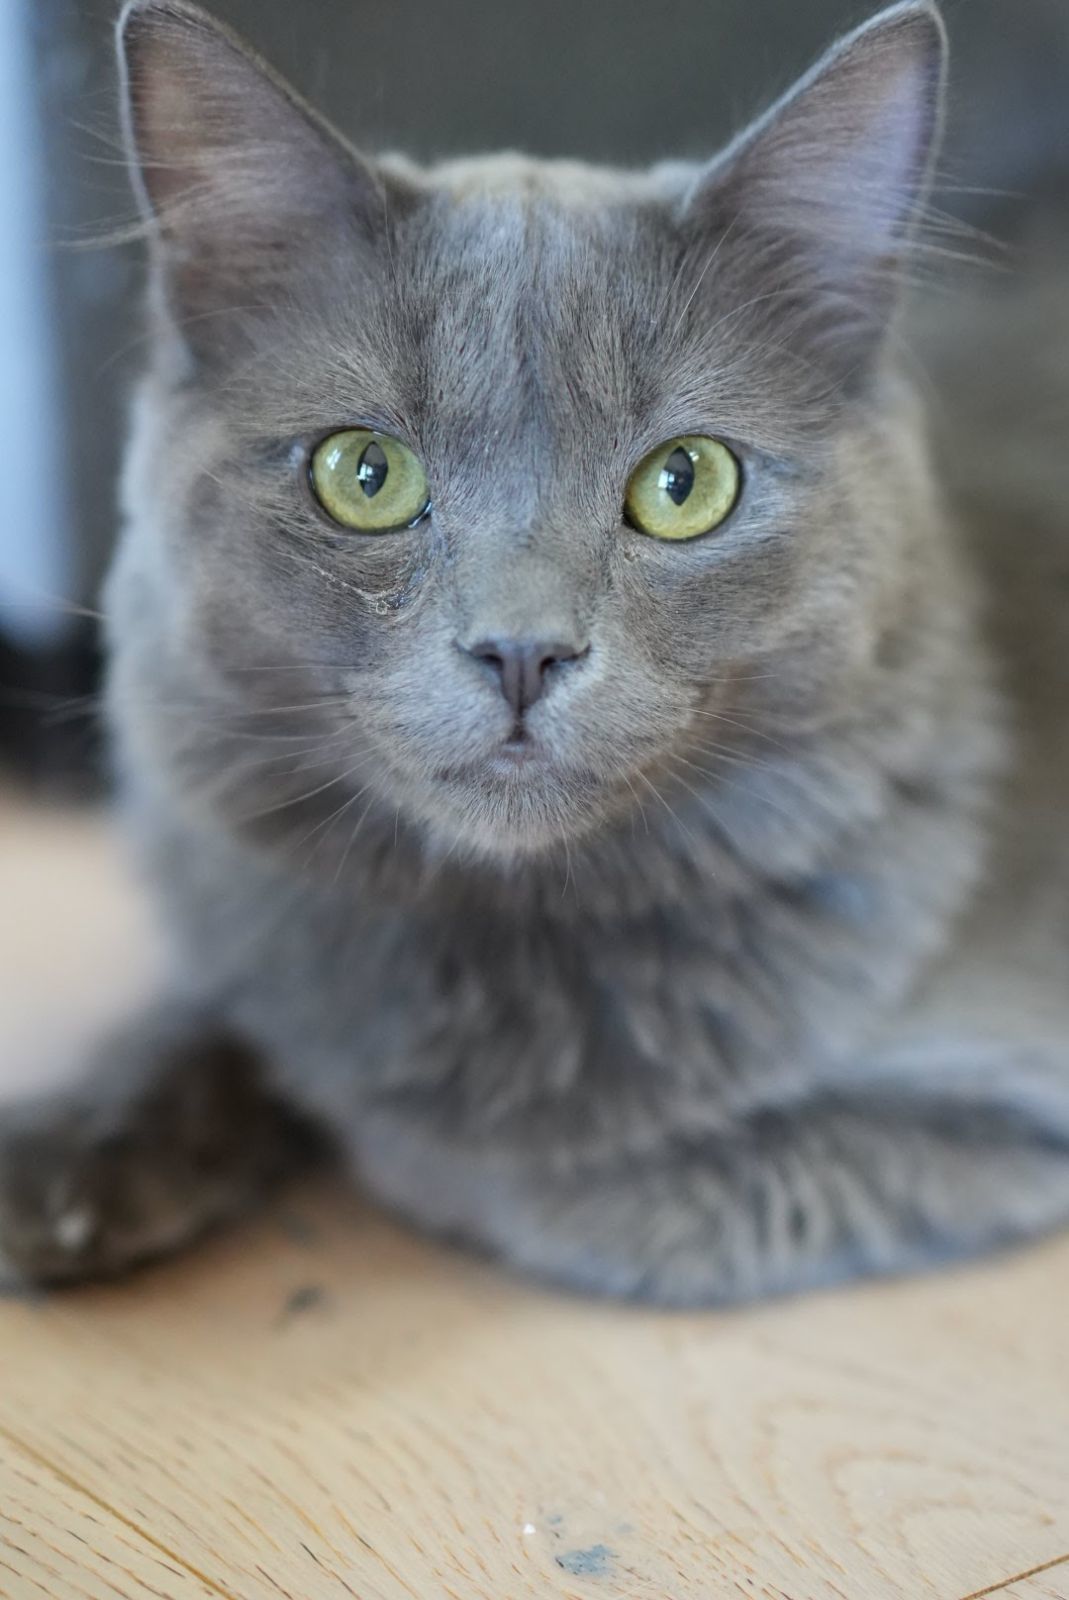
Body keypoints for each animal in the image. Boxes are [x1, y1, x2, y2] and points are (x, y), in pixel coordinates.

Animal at [4, 0, 1062, 1305]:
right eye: (365, 473)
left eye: (685, 482)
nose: (521, 650)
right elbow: (216, 1001)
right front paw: (75, 1138)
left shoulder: (993, 1110)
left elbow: (519, 1173)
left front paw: (353, 1116)